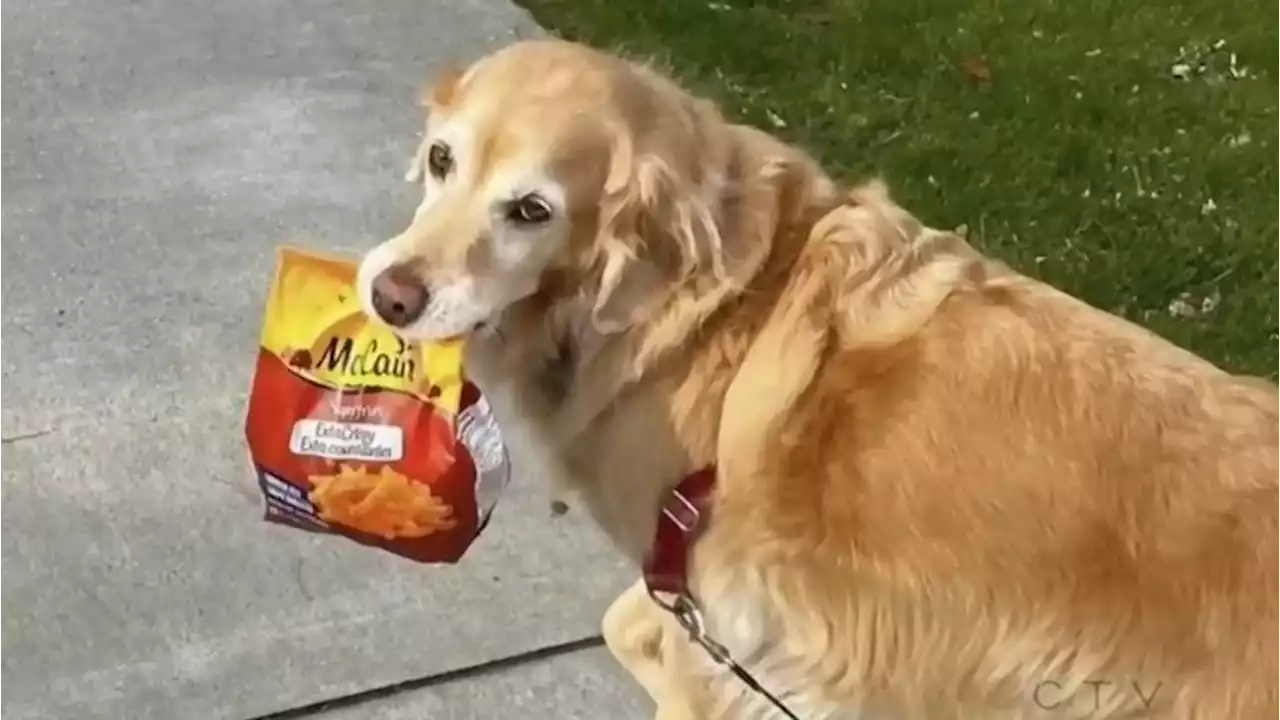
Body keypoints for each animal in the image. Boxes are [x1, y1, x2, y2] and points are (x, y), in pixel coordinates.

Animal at [355, 40, 1280, 717]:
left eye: (532, 211)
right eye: (440, 160)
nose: (389, 294)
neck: (715, 305)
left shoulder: (716, 620)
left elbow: (648, 638)